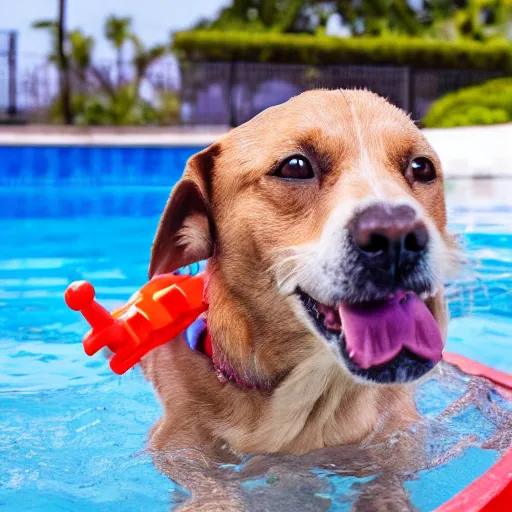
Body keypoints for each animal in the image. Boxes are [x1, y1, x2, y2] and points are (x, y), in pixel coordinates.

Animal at [141, 88, 460, 508]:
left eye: (421, 168)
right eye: (295, 167)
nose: (398, 237)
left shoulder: (398, 436)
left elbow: (387, 482)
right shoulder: (176, 447)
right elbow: (210, 487)